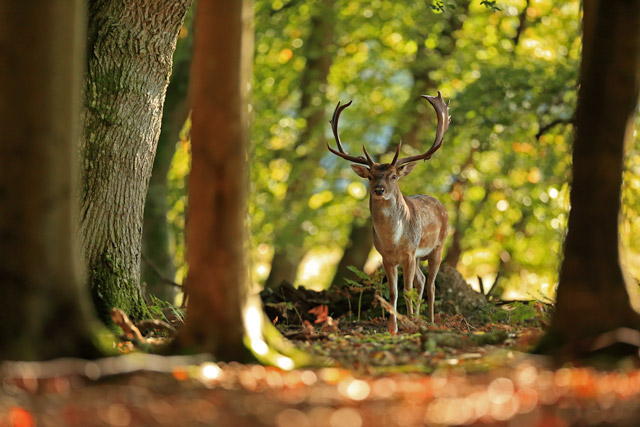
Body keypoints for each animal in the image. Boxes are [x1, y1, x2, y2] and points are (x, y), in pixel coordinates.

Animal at [330, 93, 450, 334]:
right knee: (422, 281)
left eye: (394, 176)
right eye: (370, 176)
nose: (379, 190)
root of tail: (440, 204)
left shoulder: (409, 252)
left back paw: (431, 321)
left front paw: (409, 324)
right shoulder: (386, 257)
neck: (393, 240)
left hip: (438, 247)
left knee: (431, 285)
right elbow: (393, 292)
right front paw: (393, 328)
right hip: (419, 256)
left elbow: (406, 290)